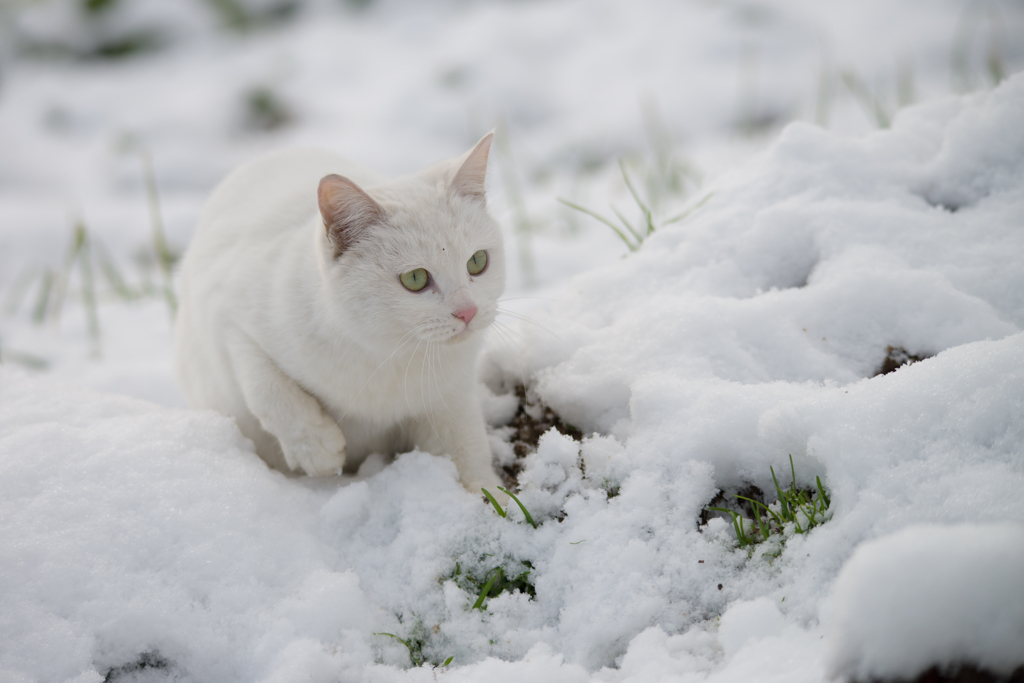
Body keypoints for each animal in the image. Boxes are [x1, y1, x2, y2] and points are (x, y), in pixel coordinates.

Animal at [178, 135, 509, 497]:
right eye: (415, 279)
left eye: (477, 261)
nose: (468, 311)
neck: (387, 356)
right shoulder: (224, 311)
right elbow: (265, 384)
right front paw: (315, 445)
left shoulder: (450, 395)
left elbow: (465, 443)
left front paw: (488, 494)